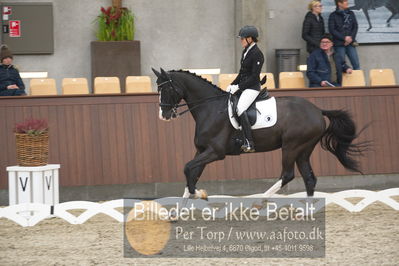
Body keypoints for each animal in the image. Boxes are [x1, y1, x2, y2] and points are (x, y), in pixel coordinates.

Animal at [153, 68, 366, 197]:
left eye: (167, 89)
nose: (163, 115)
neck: (210, 108)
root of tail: (317, 110)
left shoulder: (215, 152)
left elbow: (188, 169)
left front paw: (199, 195)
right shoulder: (202, 151)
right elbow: (191, 174)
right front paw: (179, 211)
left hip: (291, 146)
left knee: (287, 175)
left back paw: (259, 203)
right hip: (304, 149)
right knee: (309, 178)